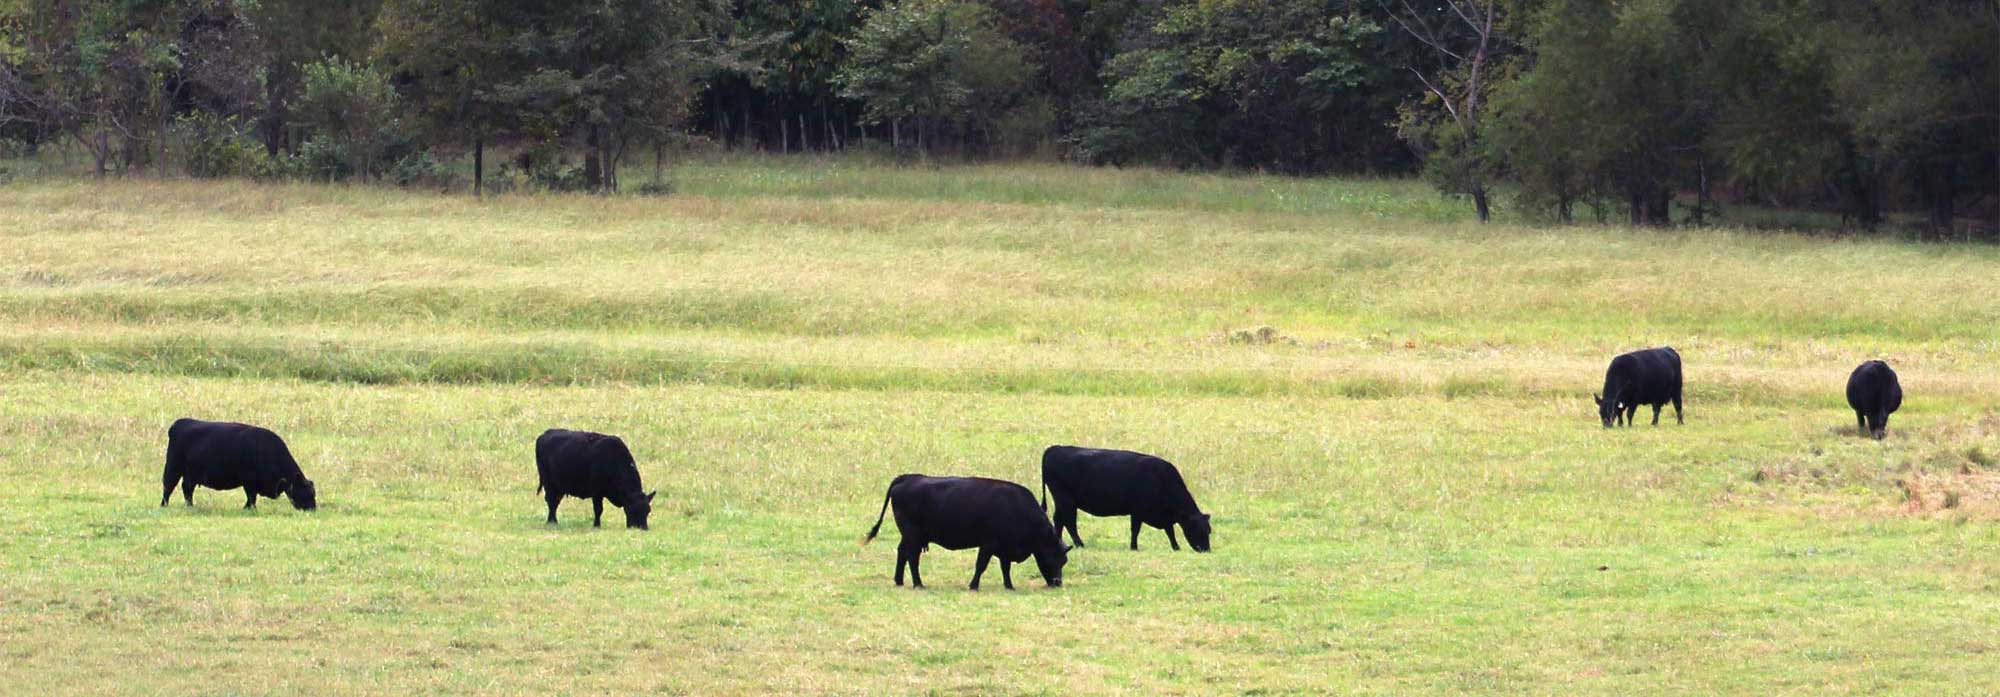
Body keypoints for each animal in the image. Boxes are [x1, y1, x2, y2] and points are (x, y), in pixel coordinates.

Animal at [160, 418, 316, 512]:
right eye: (307, 492)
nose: (312, 509)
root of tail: (180, 422)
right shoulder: (249, 481)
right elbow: (251, 497)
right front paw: (249, 508)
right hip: (173, 468)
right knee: (168, 487)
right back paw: (164, 505)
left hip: (190, 474)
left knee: (187, 489)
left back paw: (190, 506)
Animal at [868, 474, 1072, 588]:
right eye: (1055, 558)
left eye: (1064, 561)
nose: (1057, 583)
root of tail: (908, 477)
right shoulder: (989, 544)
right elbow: (981, 565)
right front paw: (973, 585)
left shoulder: (1004, 547)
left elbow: (1005, 568)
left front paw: (1009, 586)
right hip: (913, 536)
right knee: (912, 557)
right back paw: (918, 584)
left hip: (909, 536)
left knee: (902, 553)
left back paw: (899, 581)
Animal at [1040, 448, 1208, 552]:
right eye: (1197, 529)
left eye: (1209, 530)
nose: (1206, 549)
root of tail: (1054, 448)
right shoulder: (1138, 510)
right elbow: (1135, 530)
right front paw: (1134, 547)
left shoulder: (1163, 515)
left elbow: (1169, 531)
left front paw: (1176, 547)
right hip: (1066, 500)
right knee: (1069, 522)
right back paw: (1080, 544)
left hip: (1061, 501)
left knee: (1059, 520)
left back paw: (1059, 541)